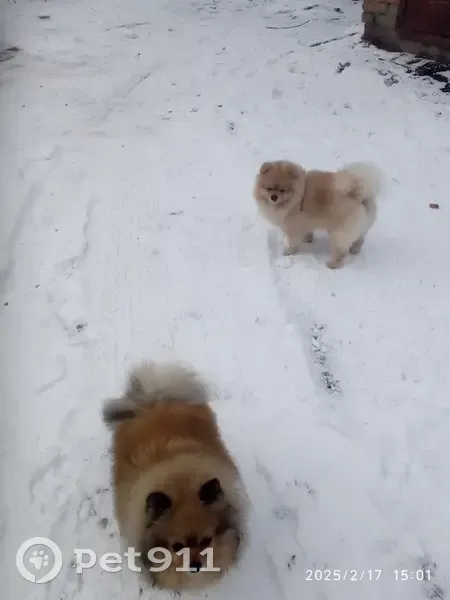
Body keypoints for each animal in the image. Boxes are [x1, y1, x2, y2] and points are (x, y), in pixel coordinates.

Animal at [253, 160, 384, 268]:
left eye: (282, 190)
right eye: (268, 188)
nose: (273, 197)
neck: (298, 197)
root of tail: (360, 193)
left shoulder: (293, 226)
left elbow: (293, 242)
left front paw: (289, 252)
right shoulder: (305, 222)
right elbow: (307, 232)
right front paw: (307, 239)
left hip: (338, 232)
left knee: (341, 251)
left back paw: (332, 265)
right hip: (361, 227)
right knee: (360, 239)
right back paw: (355, 250)